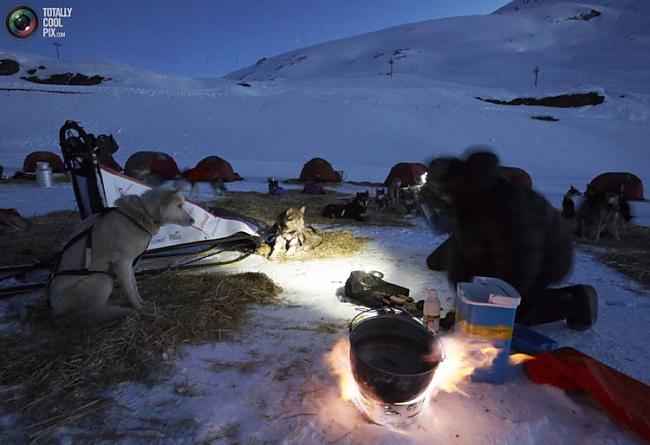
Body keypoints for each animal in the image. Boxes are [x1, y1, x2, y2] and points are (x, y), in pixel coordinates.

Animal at [49, 186, 194, 328]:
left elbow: (134, 288)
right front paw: (139, 309)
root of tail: (56, 311)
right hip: (104, 280)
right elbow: (130, 292)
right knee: (92, 311)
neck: (141, 214)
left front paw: (142, 303)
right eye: (179, 206)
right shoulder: (123, 265)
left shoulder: (129, 266)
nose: (193, 220)